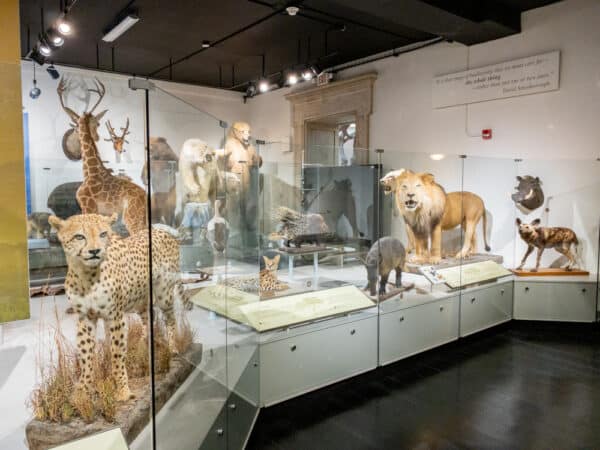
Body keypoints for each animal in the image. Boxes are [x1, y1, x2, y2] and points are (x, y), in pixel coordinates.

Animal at [49, 214, 188, 400]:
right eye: (79, 236)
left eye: (103, 234)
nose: (95, 251)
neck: (87, 277)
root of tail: (161, 230)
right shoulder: (86, 318)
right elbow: (86, 354)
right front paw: (84, 390)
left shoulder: (115, 317)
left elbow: (116, 353)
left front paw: (122, 390)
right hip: (141, 300)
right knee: (148, 318)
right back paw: (142, 347)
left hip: (163, 294)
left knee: (170, 317)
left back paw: (172, 348)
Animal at [58, 77, 148, 234]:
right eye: (93, 122)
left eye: (98, 123)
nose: (96, 137)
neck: (90, 171)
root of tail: (145, 198)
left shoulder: (88, 206)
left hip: (131, 217)